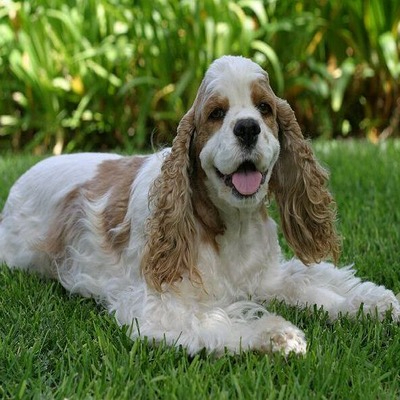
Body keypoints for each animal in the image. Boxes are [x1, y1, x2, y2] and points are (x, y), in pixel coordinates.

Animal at [1, 55, 398, 354]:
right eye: (216, 113)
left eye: (265, 108)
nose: (247, 128)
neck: (231, 225)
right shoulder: (158, 306)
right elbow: (219, 320)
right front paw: (278, 335)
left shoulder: (268, 276)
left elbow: (315, 286)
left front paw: (375, 304)